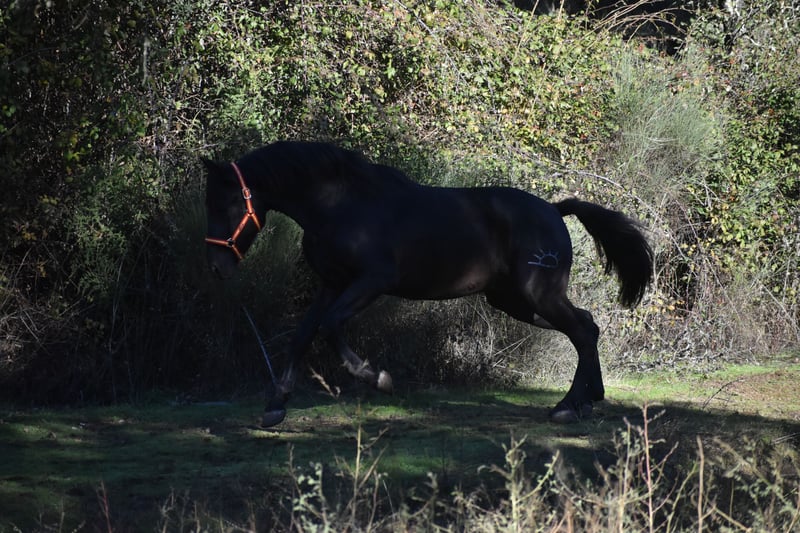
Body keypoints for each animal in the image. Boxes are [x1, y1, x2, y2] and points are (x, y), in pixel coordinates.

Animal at [203, 141, 653, 427]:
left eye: (227, 203)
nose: (217, 267)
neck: (342, 204)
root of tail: (555, 210)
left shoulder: (371, 281)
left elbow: (330, 327)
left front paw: (376, 378)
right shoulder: (331, 284)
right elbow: (302, 335)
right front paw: (275, 405)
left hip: (536, 295)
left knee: (582, 331)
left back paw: (570, 406)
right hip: (515, 301)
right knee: (588, 326)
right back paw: (587, 401)